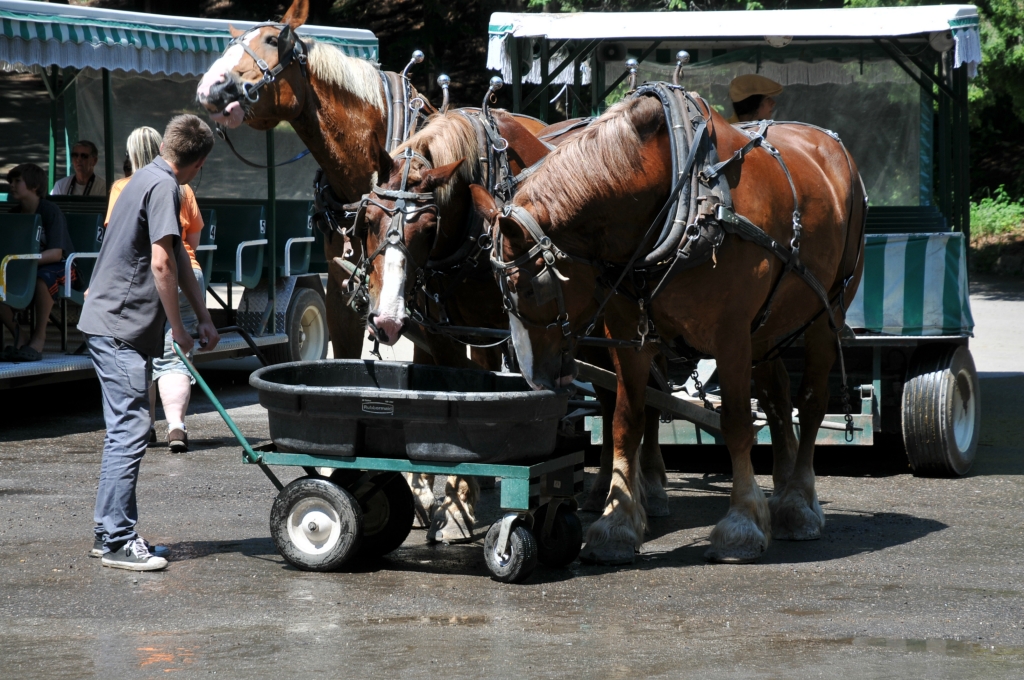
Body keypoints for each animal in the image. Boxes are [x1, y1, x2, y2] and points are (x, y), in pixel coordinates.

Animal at [471, 88, 866, 565]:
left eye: (526, 287)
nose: (535, 378)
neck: (683, 190)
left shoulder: (732, 335)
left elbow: (737, 422)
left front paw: (742, 524)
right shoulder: (629, 332)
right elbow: (626, 420)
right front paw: (617, 524)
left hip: (827, 313)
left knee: (809, 402)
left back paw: (798, 504)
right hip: (768, 326)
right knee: (776, 400)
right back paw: (783, 489)